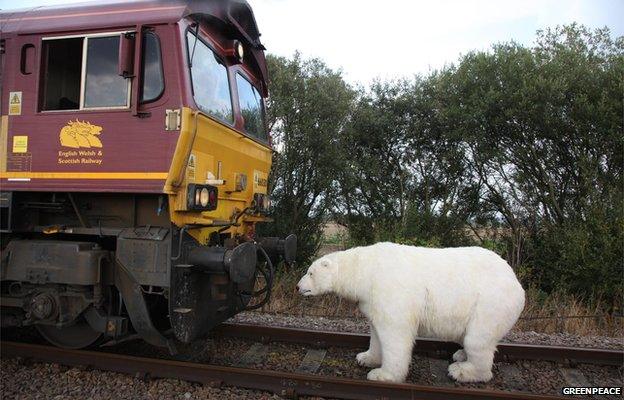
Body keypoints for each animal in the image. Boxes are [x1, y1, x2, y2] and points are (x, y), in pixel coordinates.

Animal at [298, 242, 528, 382]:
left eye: (310, 272)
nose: (299, 286)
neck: (366, 270)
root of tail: (515, 281)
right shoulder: (372, 297)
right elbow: (376, 330)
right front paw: (366, 358)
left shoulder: (390, 291)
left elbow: (395, 334)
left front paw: (382, 374)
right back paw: (460, 354)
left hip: (489, 304)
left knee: (477, 340)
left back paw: (462, 370)